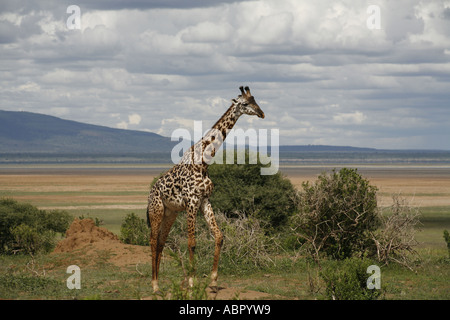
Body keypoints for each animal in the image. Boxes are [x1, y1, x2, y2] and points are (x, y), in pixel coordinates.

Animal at [146, 85, 266, 292]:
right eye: (244, 104)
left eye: (255, 100)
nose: (261, 113)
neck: (203, 161)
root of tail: (150, 193)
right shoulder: (192, 202)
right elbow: (192, 243)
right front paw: (192, 282)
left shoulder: (205, 201)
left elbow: (219, 236)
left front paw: (213, 280)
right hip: (157, 211)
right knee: (153, 241)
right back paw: (154, 286)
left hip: (170, 213)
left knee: (161, 241)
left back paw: (158, 282)